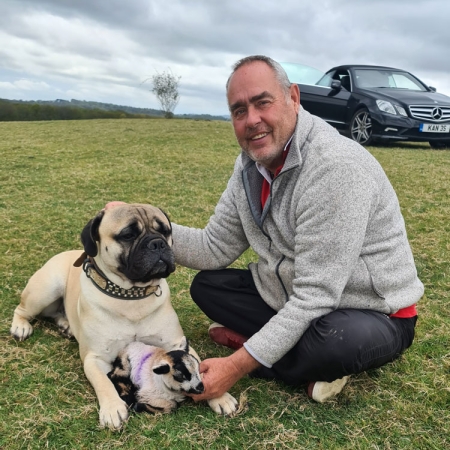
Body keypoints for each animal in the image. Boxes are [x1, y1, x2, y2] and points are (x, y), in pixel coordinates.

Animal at [9, 204, 239, 428]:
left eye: (165, 231)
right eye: (128, 235)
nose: (158, 243)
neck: (132, 296)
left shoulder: (176, 343)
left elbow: (200, 369)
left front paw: (219, 396)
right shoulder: (95, 358)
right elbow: (104, 382)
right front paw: (112, 408)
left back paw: (65, 325)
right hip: (46, 289)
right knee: (22, 310)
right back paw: (21, 327)